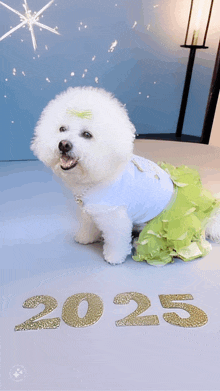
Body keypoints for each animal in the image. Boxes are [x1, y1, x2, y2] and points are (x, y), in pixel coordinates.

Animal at [30, 87, 220, 264]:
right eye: (62, 129)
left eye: (87, 134)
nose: (64, 144)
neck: (97, 179)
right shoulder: (91, 210)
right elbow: (89, 225)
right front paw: (85, 238)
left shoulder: (115, 215)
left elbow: (117, 240)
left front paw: (114, 258)